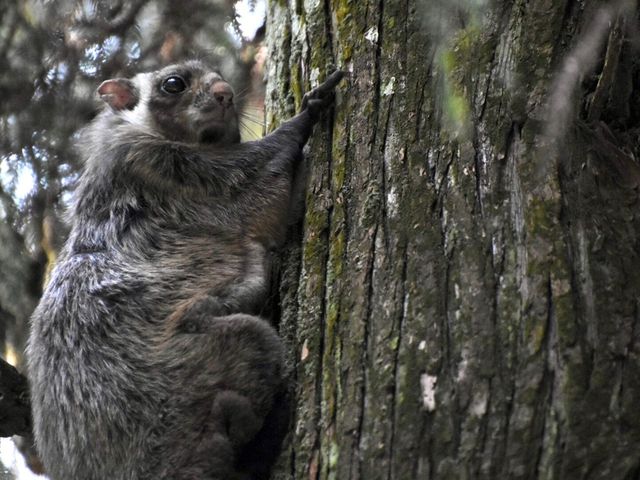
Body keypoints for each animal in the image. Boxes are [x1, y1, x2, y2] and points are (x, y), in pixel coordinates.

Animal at [26, 60, 344, 480]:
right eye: (173, 84)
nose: (226, 93)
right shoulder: (171, 172)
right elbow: (261, 193)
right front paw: (305, 116)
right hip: (208, 362)